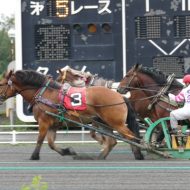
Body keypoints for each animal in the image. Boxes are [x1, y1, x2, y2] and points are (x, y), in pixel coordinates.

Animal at [0, 69, 143, 160]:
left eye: (1, 83)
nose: (0, 97)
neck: (44, 93)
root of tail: (120, 96)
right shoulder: (53, 124)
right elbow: (51, 143)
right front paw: (67, 151)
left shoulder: (44, 122)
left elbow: (40, 140)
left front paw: (34, 156)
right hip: (103, 122)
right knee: (113, 141)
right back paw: (101, 156)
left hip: (115, 122)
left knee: (131, 136)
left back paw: (139, 153)